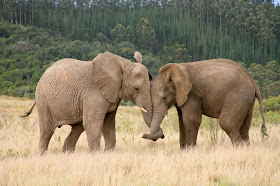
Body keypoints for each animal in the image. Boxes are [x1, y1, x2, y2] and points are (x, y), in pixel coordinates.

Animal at [22, 51, 158, 154]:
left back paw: (67, 153)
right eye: (136, 88)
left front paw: (108, 153)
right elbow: (93, 123)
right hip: (44, 100)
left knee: (77, 128)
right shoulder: (94, 93)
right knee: (47, 130)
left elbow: (108, 123)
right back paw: (42, 155)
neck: (123, 64)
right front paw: (95, 155)